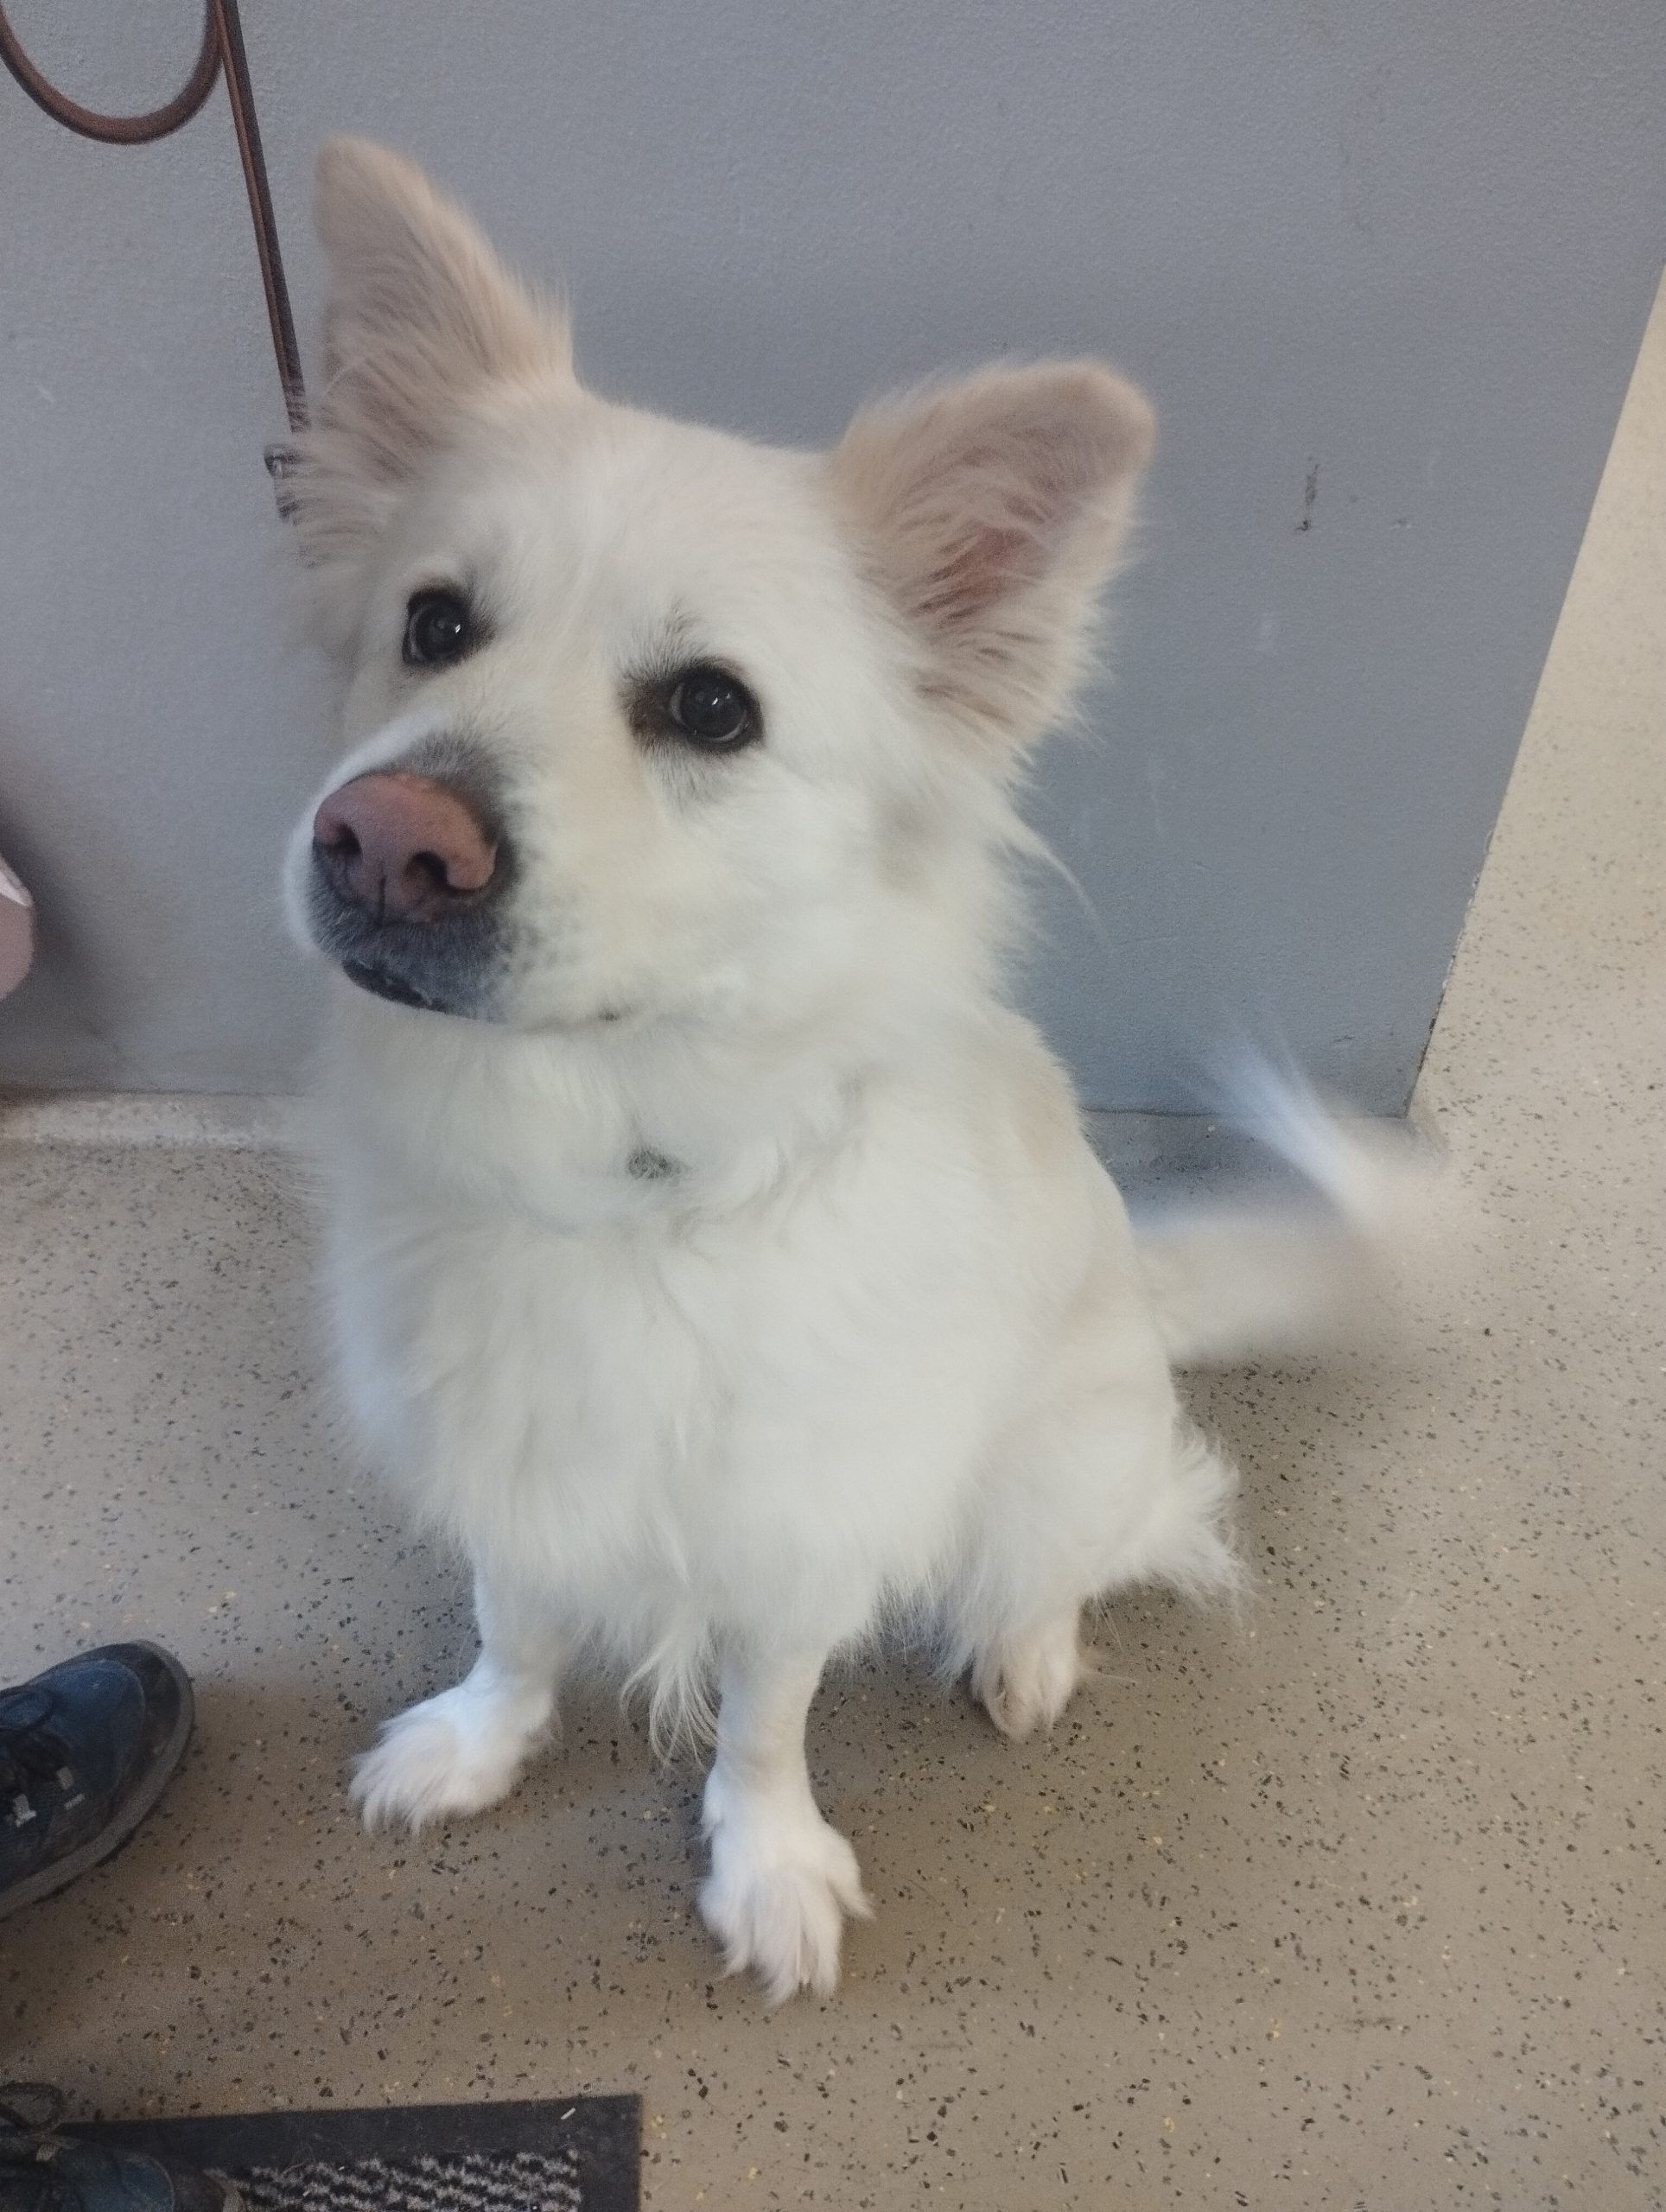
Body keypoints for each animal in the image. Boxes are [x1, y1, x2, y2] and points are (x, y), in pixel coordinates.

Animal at [283, 139, 1403, 2003]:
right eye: (434, 624)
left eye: (708, 710)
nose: (382, 837)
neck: (627, 1175)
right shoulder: (510, 1472)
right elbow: (516, 1625)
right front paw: (476, 1744)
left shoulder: (802, 1526)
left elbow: (762, 1721)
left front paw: (766, 1867)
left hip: (1049, 1465)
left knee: (1094, 1543)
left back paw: (1026, 1651)